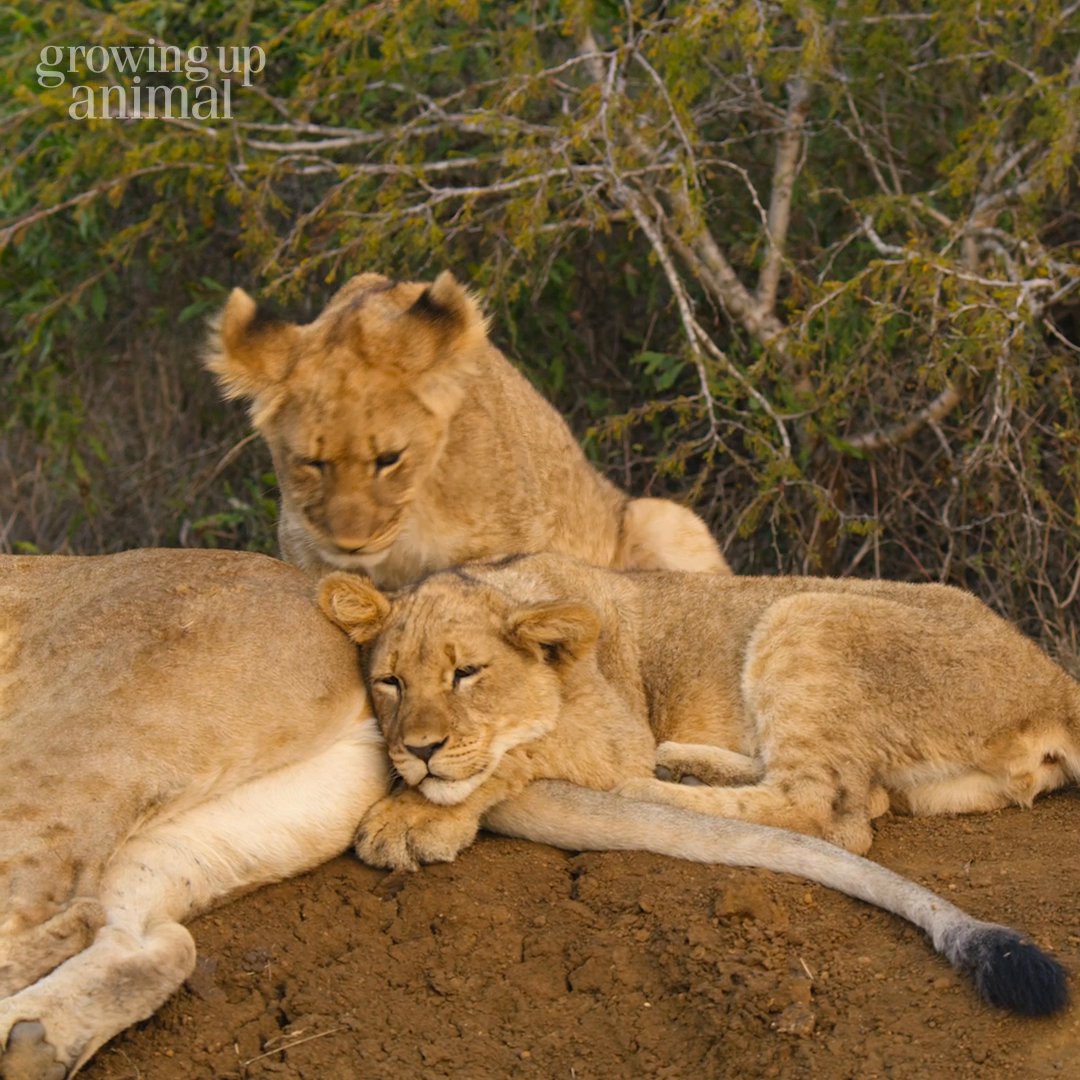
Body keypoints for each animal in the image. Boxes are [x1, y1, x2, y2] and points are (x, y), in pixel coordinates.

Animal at [203, 270, 728, 588]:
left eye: (389, 459)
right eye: (312, 463)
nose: (351, 543)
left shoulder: (509, 551)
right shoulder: (309, 559)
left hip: (661, 515)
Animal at [317, 551, 1080, 868]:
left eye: (467, 673)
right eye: (388, 682)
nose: (418, 749)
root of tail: (1052, 678)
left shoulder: (615, 731)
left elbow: (517, 748)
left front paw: (412, 819)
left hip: (805, 611)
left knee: (828, 814)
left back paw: (650, 789)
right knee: (859, 800)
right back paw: (684, 765)